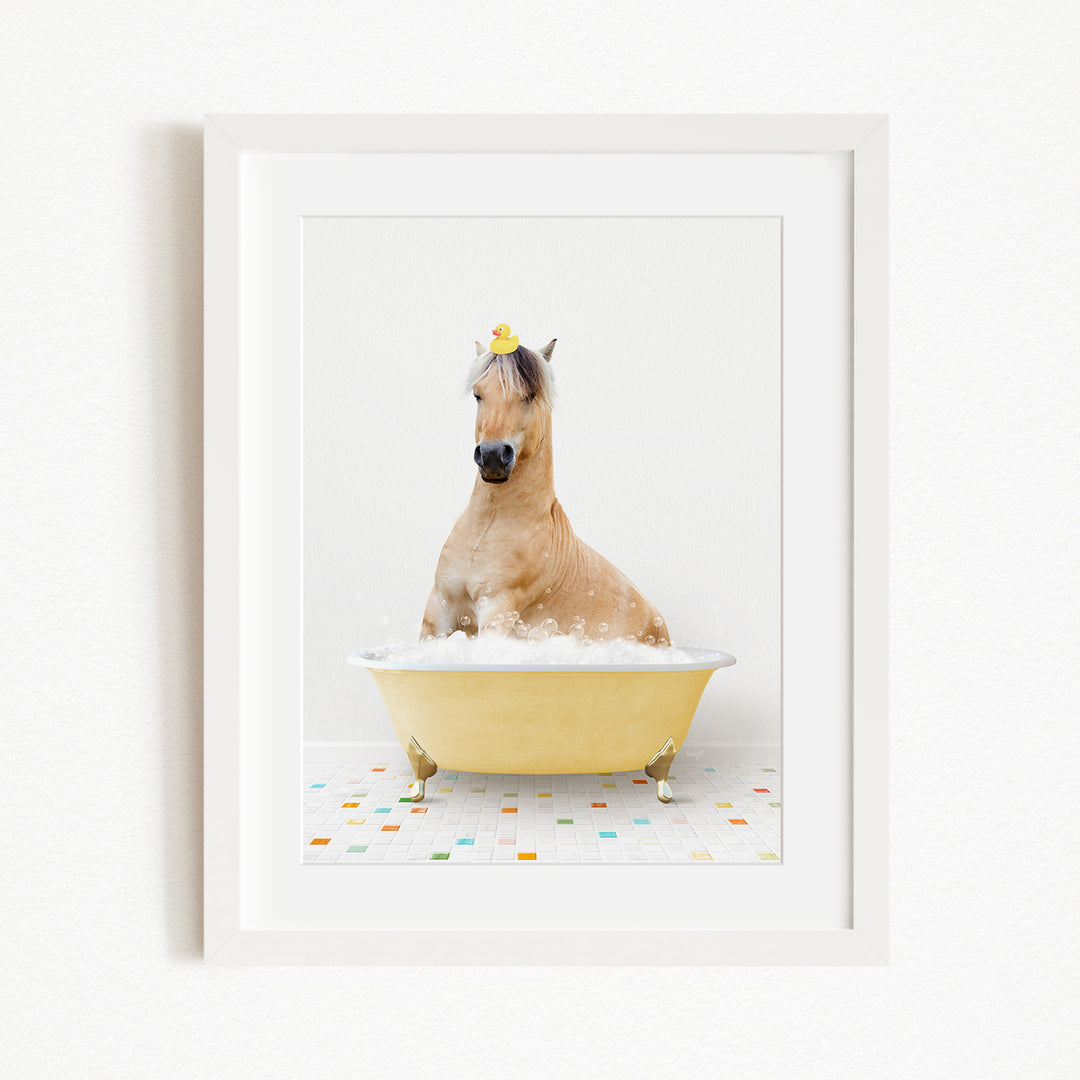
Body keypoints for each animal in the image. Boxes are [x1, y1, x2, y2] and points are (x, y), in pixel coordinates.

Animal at [420, 336, 670, 646]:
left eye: (529, 395)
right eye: (478, 395)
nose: (492, 456)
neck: (487, 528)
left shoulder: (497, 610)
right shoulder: (439, 607)